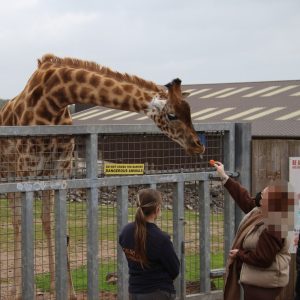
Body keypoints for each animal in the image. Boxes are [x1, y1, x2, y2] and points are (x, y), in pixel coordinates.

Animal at [0, 54, 205, 300]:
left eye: (190, 112)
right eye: (172, 115)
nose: (198, 145)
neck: (54, 99)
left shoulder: (61, 168)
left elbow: (58, 224)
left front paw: (66, 290)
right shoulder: (27, 168)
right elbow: (27, 222)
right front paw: (27, 290)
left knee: (42, 220)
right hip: (10, 171)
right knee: (17, 221)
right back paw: (15, 289)